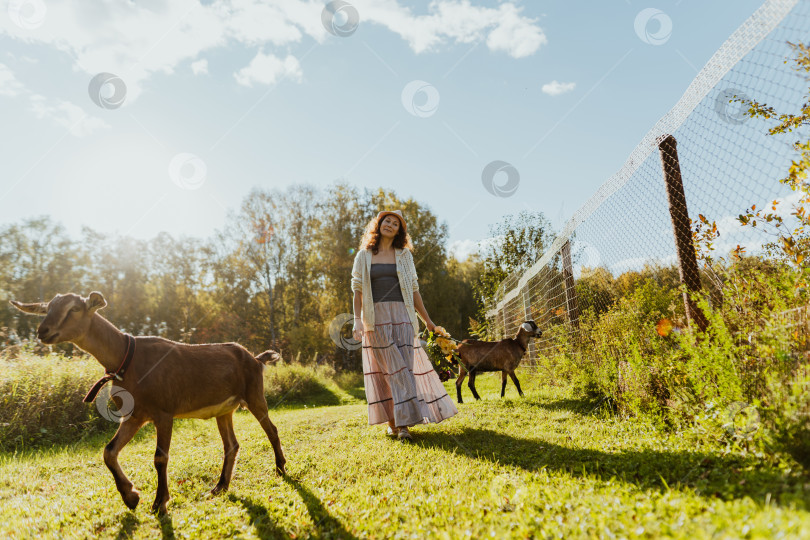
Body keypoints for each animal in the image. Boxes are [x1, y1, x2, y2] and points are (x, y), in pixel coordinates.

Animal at [11, 292, 286, 516]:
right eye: (48, 308)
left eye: (74, 308)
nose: (42, 331)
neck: (126, 358)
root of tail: (256, 358)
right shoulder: (134, 415)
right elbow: (109, 451)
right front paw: (131, 497)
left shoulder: (163, 412)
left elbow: (160, 458)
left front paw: (159, 502)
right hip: (224, 409)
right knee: (231, 445)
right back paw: (220, 486)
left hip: (254, 394)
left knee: (271, 429)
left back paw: (280, 468)